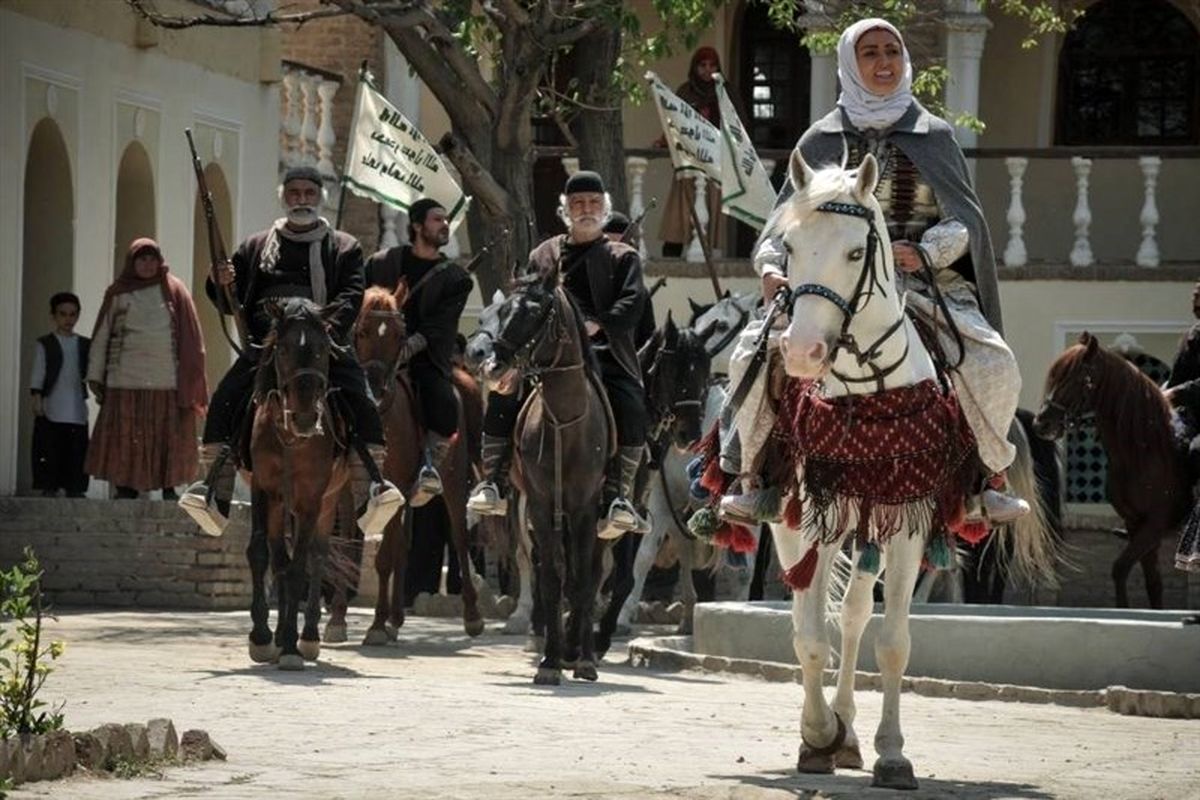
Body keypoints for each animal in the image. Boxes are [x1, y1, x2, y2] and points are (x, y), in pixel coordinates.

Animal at [244, 297, 350, 671]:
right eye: (284, 349)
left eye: (322, 349)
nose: (305, 418)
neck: (290, 438)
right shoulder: (262, 490)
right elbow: (261, 553)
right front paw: (262, 637)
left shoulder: (310, 499)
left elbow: (299, 566)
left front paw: (291, 643)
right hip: (279, 505)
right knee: (278, 556)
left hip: (328, 502)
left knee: (315, 556)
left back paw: (308, 637)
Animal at [348, 284, 482, 642]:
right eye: (362, 331)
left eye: (399, 335)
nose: (376, 387)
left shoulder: (392, 484)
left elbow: (383, 556)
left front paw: (376, 625)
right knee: (403, 543)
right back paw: (395, 616)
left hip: (453, 480)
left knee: (460, 538)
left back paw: (472, 615)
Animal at [477, 268, 609, 681]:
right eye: (504, 311)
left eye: (535, 313)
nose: (494, 368)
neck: (565, 423)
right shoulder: (539, 502)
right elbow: (551, 578)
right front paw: (550, 661)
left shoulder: (585, 508)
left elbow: (582, 580)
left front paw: (583, 660)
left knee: (590, 572)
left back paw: (578, 649)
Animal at [768, 153, 1051, 791]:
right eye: (788, 246)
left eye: (856, 252)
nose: (802, 353)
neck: (867, 388)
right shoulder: (813, 518)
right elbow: (809, 637)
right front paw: (816, 735)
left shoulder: (909, 520)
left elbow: (892, 641)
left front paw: (891, 754)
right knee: (813, 619)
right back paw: (830, 730)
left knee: (855, 615)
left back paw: (849, 730)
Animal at [1032, 331, 1190, 606]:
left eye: (1075, 379)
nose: (1041, 424)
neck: (1143, 451)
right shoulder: (1136, 523)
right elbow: (1152, 582)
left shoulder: (1155, 523)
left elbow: (1121, 567)